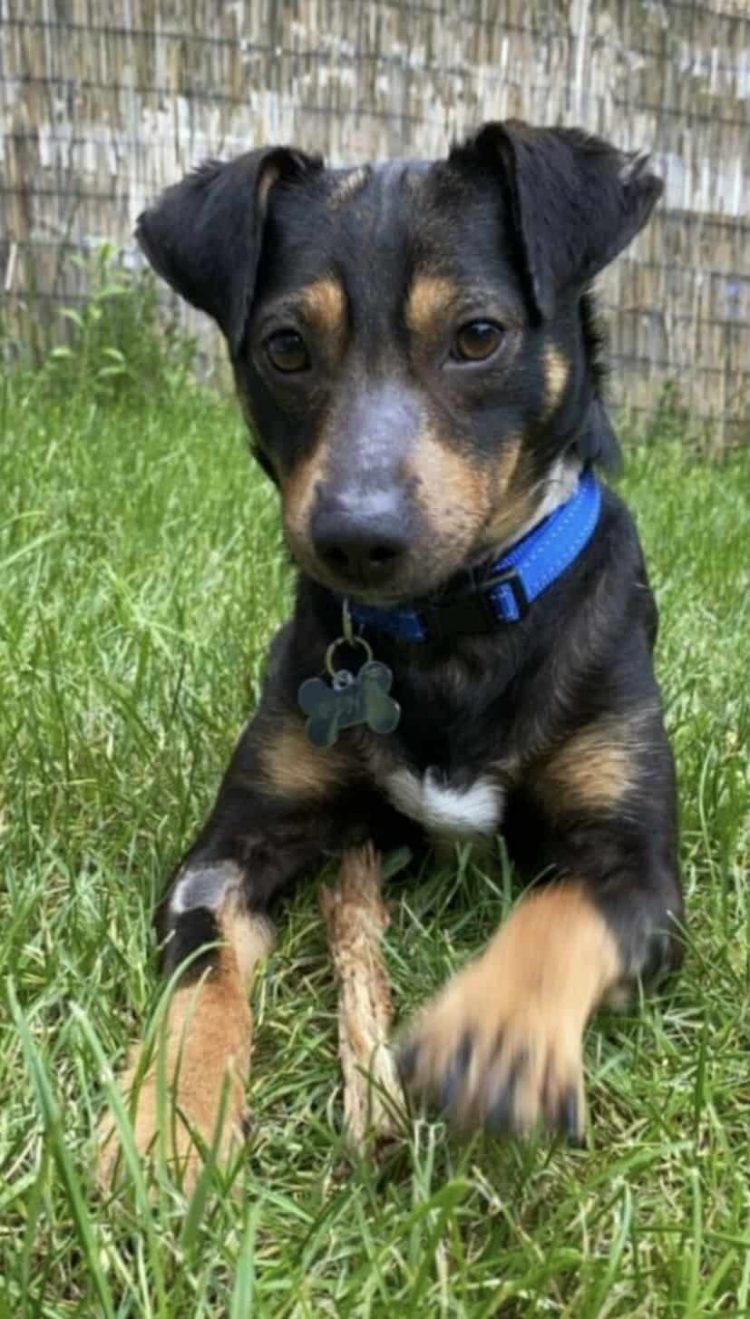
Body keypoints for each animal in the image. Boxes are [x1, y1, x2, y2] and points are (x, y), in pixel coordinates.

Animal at [99, 121, 683, 1186]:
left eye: (479, 335)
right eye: (286, 347)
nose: (356, 539)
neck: (448, 628)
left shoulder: (640, 872)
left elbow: (555, 915)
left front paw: (494, 1035)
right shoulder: (229, 847)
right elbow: (205, 965)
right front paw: (171, 1113)